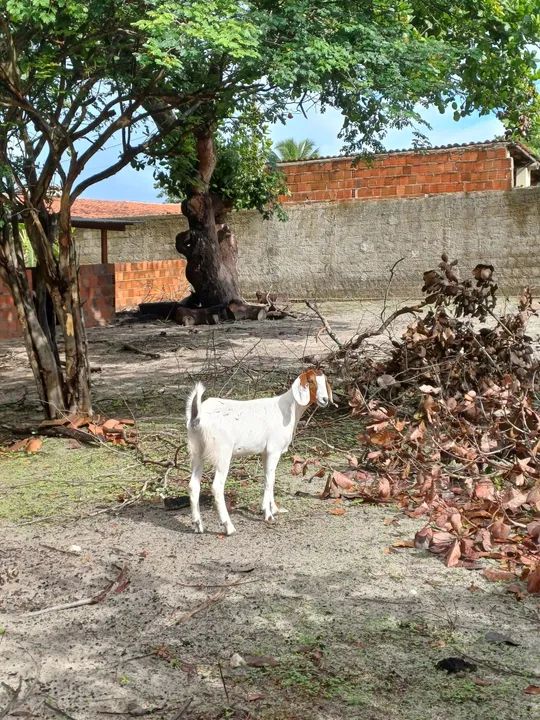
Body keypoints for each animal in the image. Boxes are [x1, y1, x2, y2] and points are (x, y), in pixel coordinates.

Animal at [185, 368, 333, 535]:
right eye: (311, 381)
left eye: (325, 381)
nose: (325, 399)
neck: (287, 409)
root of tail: (198, 416)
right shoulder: (274, 449)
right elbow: (270, 480)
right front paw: (268, 514)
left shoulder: (265, 452)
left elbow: (269, 478)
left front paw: (273, 509)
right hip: (222, 453)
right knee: (217, 487)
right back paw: (229, 526)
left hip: (197, 451)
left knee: (193, 485)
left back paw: (198, 525)